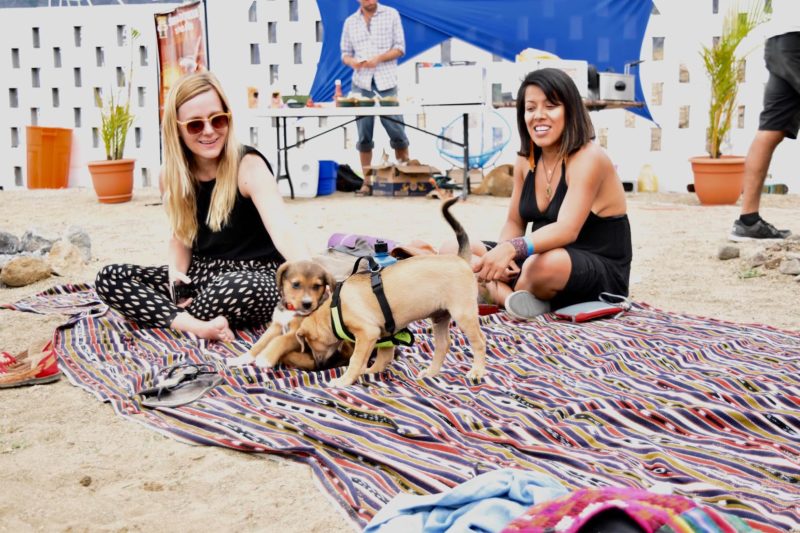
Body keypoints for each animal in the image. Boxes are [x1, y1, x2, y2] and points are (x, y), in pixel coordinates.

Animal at [296, 195, 488, 386]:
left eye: (311, 344)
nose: (319, 366)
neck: (334, 310)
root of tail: (461, 259)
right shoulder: (385, 336)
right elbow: (383, 357)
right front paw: (370, 372)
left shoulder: (367, 333)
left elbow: (356, 360)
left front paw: (344, 380)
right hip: (439, 317)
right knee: (444, 344)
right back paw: (431, 373)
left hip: (463, 314)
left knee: (480, 341)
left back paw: (477, 371)